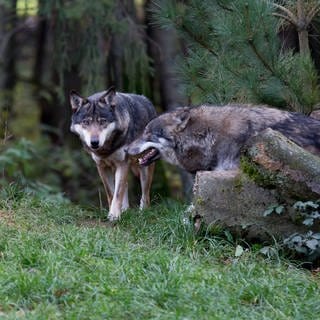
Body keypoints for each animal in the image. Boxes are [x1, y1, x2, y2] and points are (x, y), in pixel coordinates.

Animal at [69, 85, 157, 220]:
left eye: (102, 121)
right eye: (86, 122)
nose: (94, 142)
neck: (106, 149)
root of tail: (148, 101)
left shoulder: (122, 163)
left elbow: (118, 193)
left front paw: (114, 216)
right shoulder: (101, 166)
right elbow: (111, 192)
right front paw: (114, 212)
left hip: (144, 167)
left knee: (145, 195)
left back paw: (142, 213)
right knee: (126, 185)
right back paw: (125, 210)